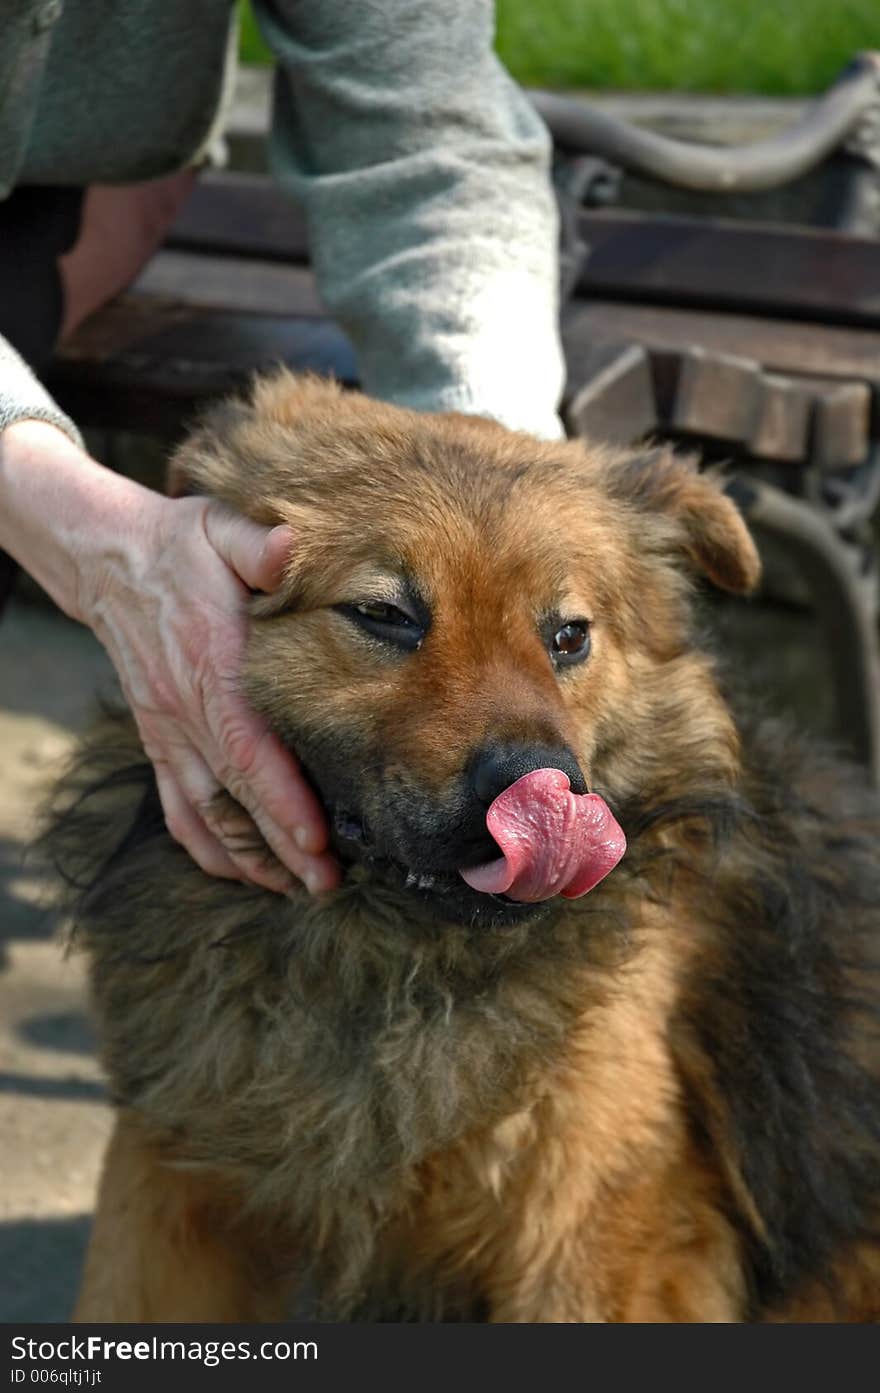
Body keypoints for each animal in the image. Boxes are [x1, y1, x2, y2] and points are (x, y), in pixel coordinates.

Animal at [42, 376, 880, 1320]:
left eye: (569, 636)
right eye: (385, 614)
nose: (547, 795)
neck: (385, 960)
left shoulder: (588, 1242)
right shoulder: (168, 1177)